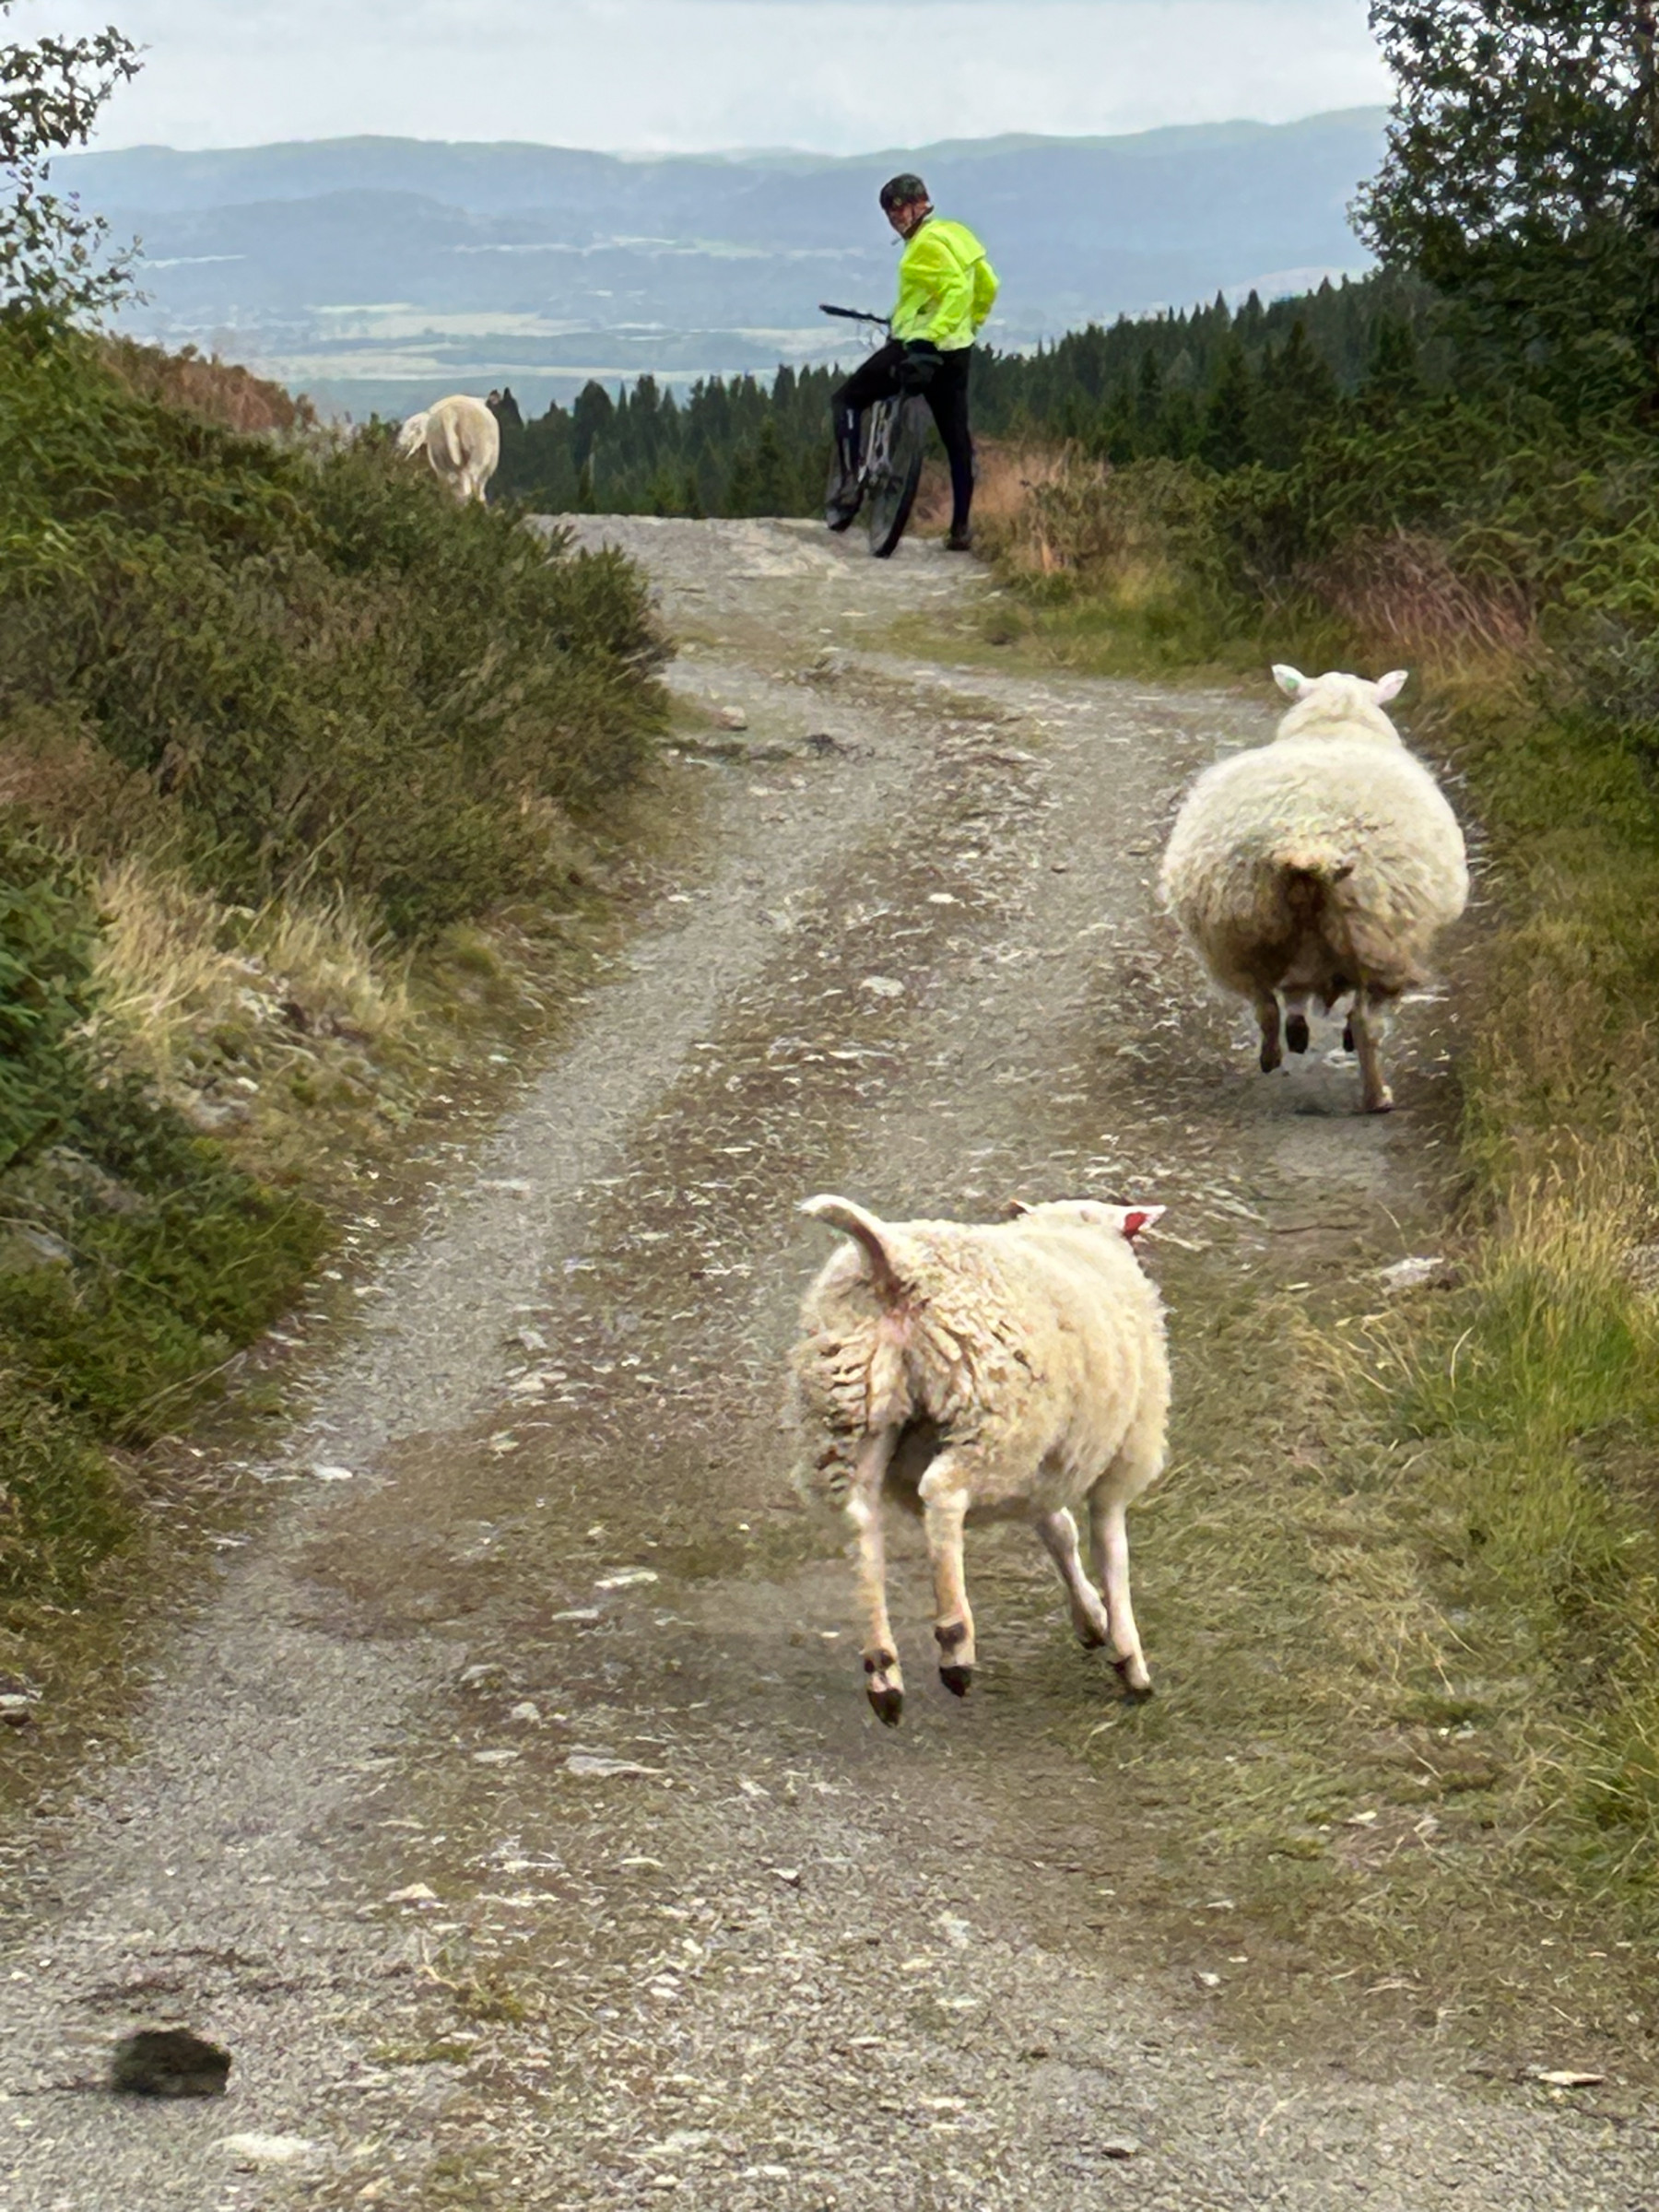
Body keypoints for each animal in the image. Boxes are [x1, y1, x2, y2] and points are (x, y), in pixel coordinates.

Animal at [791, 1194, 1170, 1726]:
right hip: (993, 1417)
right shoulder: (1118, 1460)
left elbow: (1060, 1533)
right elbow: (1109, 1549)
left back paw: (883, 1670)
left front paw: (1091, 1619)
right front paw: (1128, 1656)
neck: (1075, 1237)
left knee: (860, 1520)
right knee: (943, 1493)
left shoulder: (1044, 1467)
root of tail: (891, 1257)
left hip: (850, 1411)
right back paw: (955, 1643)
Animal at [1158, 665, 1468, 1113]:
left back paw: (1274, 1054)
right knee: (1364, 1021)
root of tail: (1305, 843)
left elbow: (1292, 993)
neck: (1335, 726)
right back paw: (1376, 1096)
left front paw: (1298, 1028)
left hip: (1240, 931)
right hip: (1381, 936)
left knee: (1265, 1006)